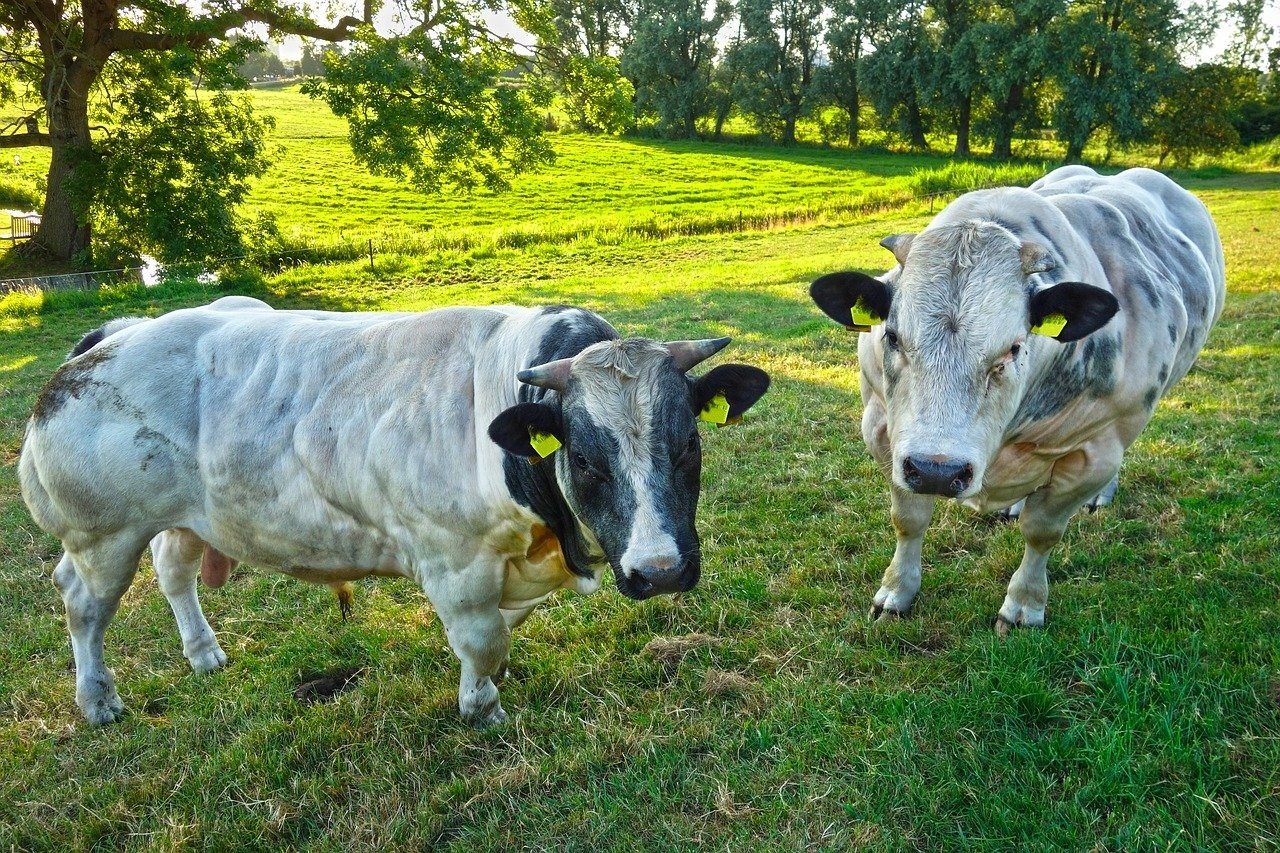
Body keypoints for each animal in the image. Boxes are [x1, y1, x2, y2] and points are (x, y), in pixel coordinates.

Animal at [20, 295, 768, 722]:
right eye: (583, 457)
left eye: (690, 441)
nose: (660, 570)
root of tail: (112, 337)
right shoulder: (453, 560)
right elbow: (482, 638)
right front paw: (482, 707)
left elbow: (498, 634)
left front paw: (485, 685)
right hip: (101, 534)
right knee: (82, 604)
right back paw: (98, 700)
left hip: (184, 516)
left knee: (174, 571)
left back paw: (204, 654)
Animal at [814, 166, 1223, 630]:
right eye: (893, 336)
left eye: (1012, 348)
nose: (938, 471)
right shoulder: (883, 431)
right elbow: (908, 520)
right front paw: (897, 592)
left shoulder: (1096, 450)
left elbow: (1042, 531)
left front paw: (1024, 604)